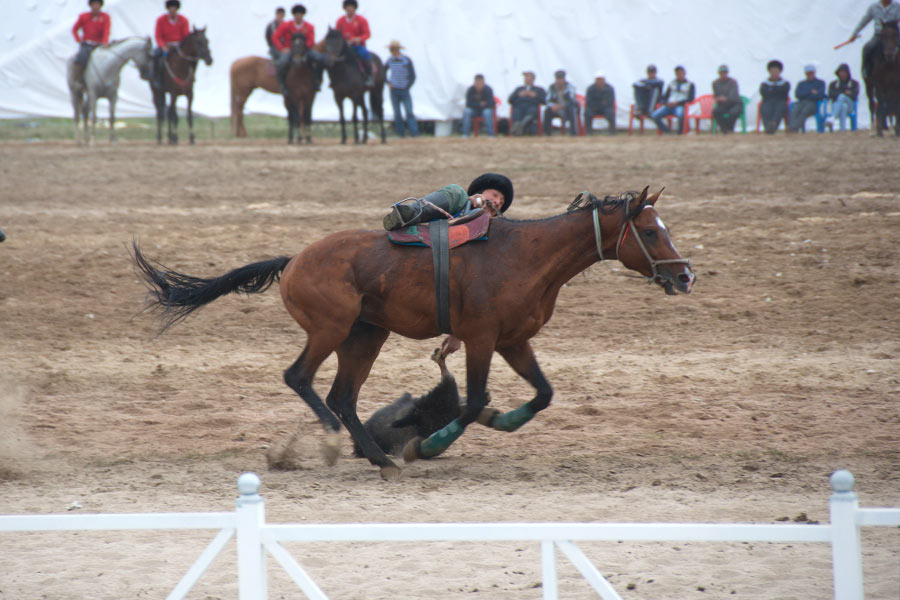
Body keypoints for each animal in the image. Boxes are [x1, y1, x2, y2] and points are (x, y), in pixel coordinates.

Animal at [134, 188, 696, 478]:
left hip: (365, 336)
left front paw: (499, 419)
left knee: (342, 395)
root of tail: (293, 260)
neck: (525, 254)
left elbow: (541, 395)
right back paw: (346, 443)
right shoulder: (482, 338)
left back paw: (378, 455)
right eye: (650, 231)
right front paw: (428, 445)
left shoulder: (513, 340)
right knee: (301, 379)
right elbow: (472, 400)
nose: (685, 275)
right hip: (332, 328)